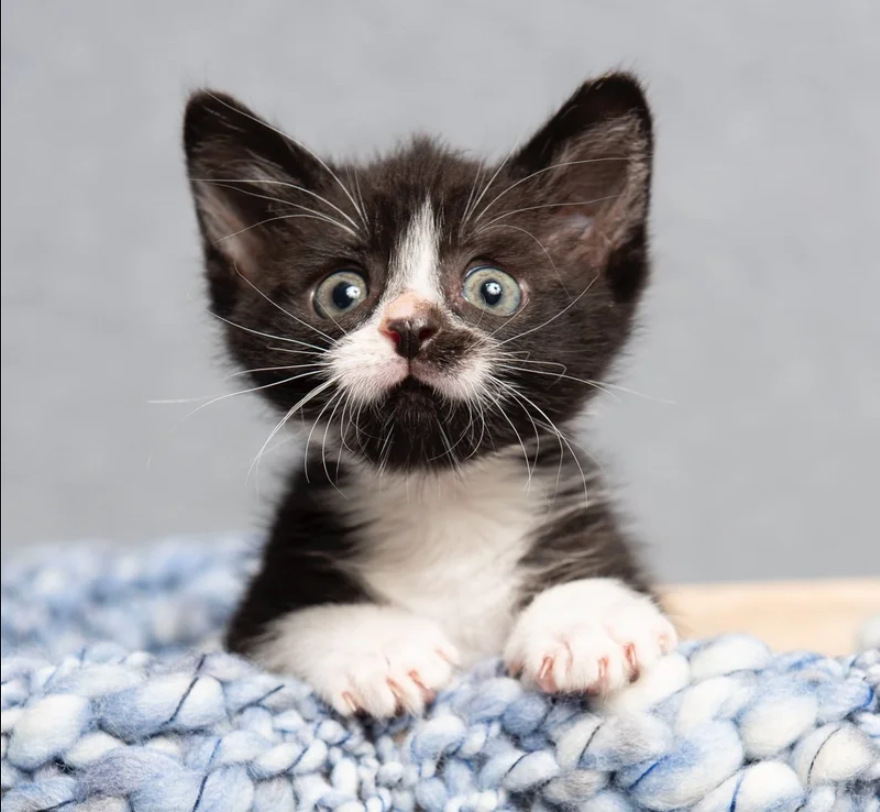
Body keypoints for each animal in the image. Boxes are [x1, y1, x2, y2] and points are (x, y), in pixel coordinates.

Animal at [184, 70, 680, 716]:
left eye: (492, 289)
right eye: (342, 293)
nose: (413, 327)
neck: (442, 500)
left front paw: (587, 621)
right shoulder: (264, 600)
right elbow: (285, 623)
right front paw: (377, 649)